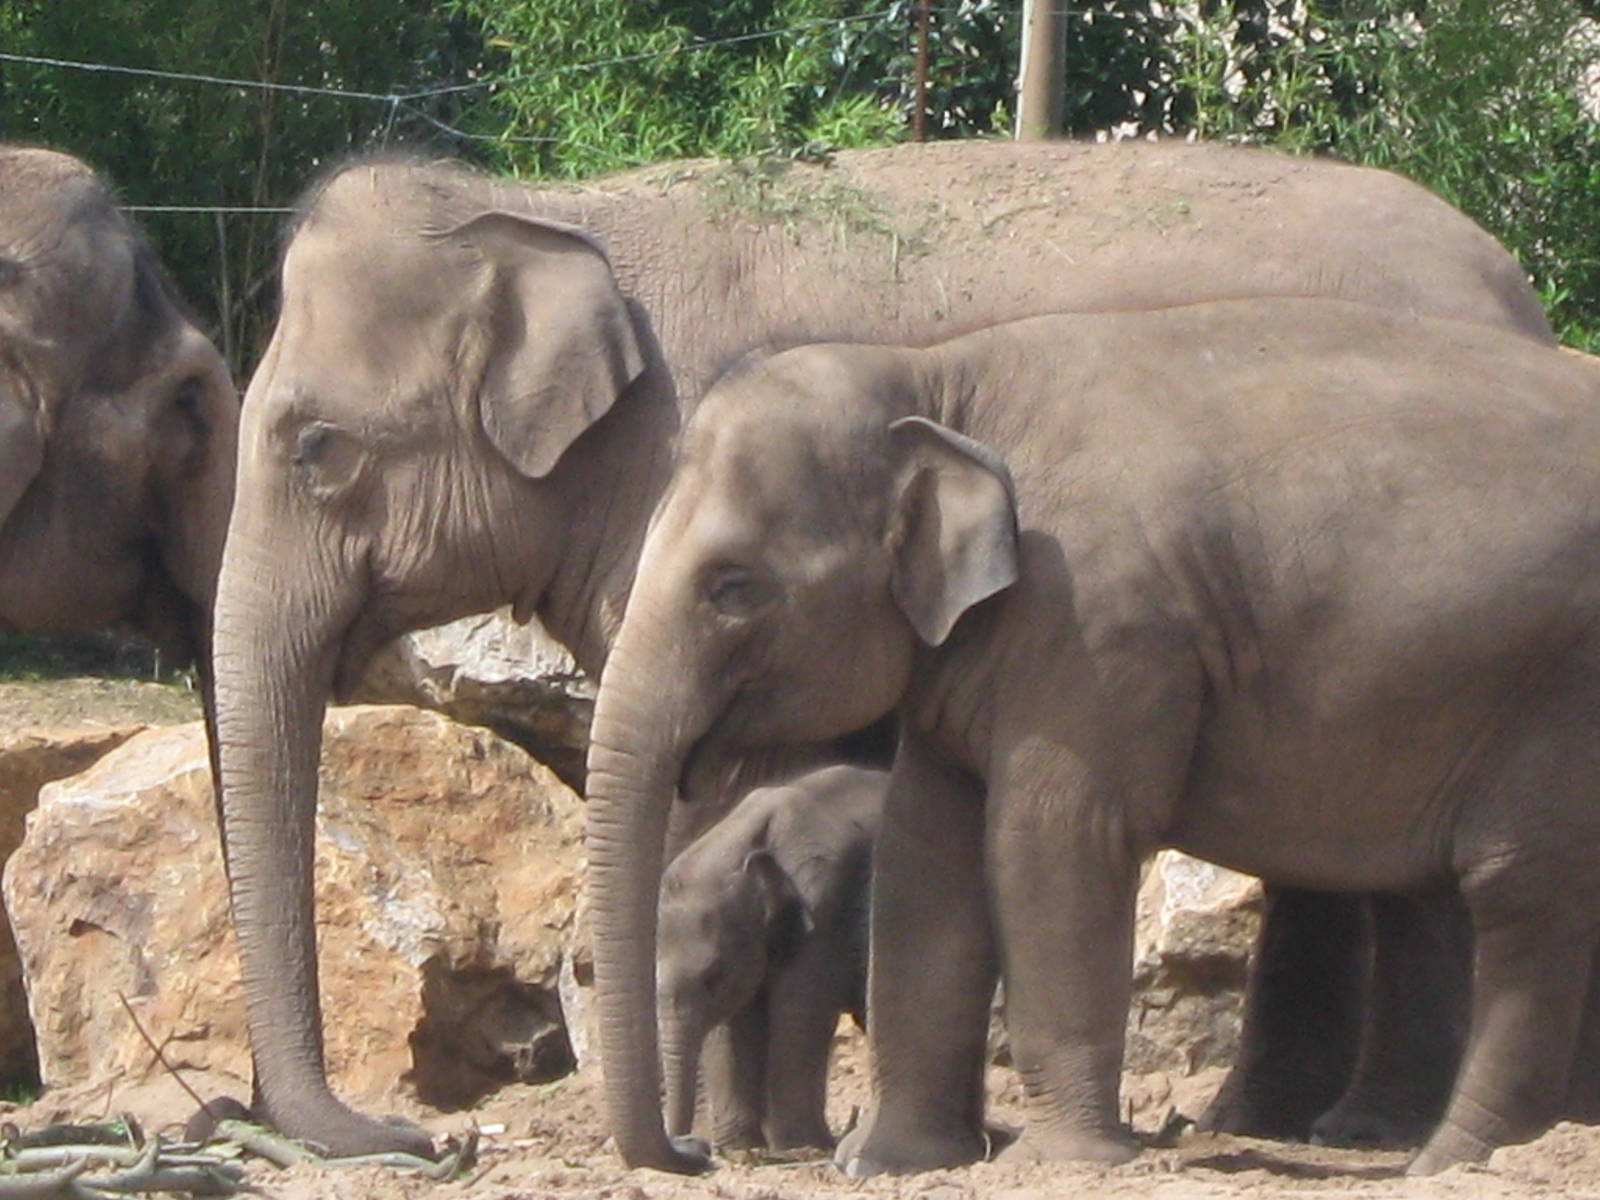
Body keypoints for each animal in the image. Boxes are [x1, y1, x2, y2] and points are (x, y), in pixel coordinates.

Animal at [658, 763, 882, 1151]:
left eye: (714, 973)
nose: (688, 1143)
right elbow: (732, 1022)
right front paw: (740, 1146)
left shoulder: (823, 915)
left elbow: (799, 1012)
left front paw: (800, 1145)